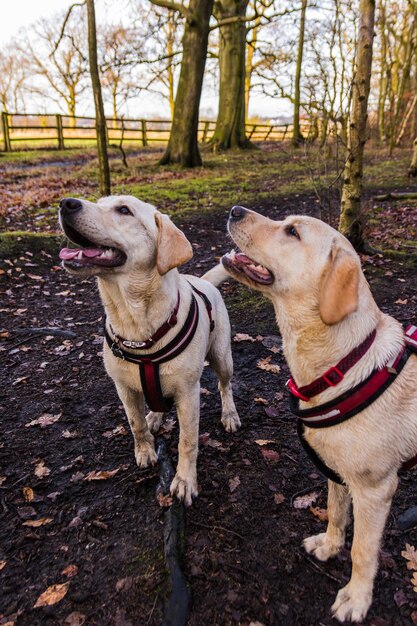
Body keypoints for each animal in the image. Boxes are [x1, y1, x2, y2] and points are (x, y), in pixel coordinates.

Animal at [58, 197, 240, 504]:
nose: (66, 203)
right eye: (99, 202)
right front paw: (145, 450)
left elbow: (187, 441)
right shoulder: (123, 387)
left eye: (123, 210)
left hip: (222, 356)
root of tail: (202, 281)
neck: (135, 322)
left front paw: (184, 480)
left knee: (224, 385)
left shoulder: (188, 393)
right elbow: (135, 424)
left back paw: (229, 414)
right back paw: (155, 416)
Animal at [219, 205, 414, 620]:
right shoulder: (336, 473)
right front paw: (328, 546)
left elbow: (362, 551)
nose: (235, 210)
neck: (342, 362)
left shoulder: (375, 490)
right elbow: (336, 514)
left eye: (292, 231)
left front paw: (356, 598)